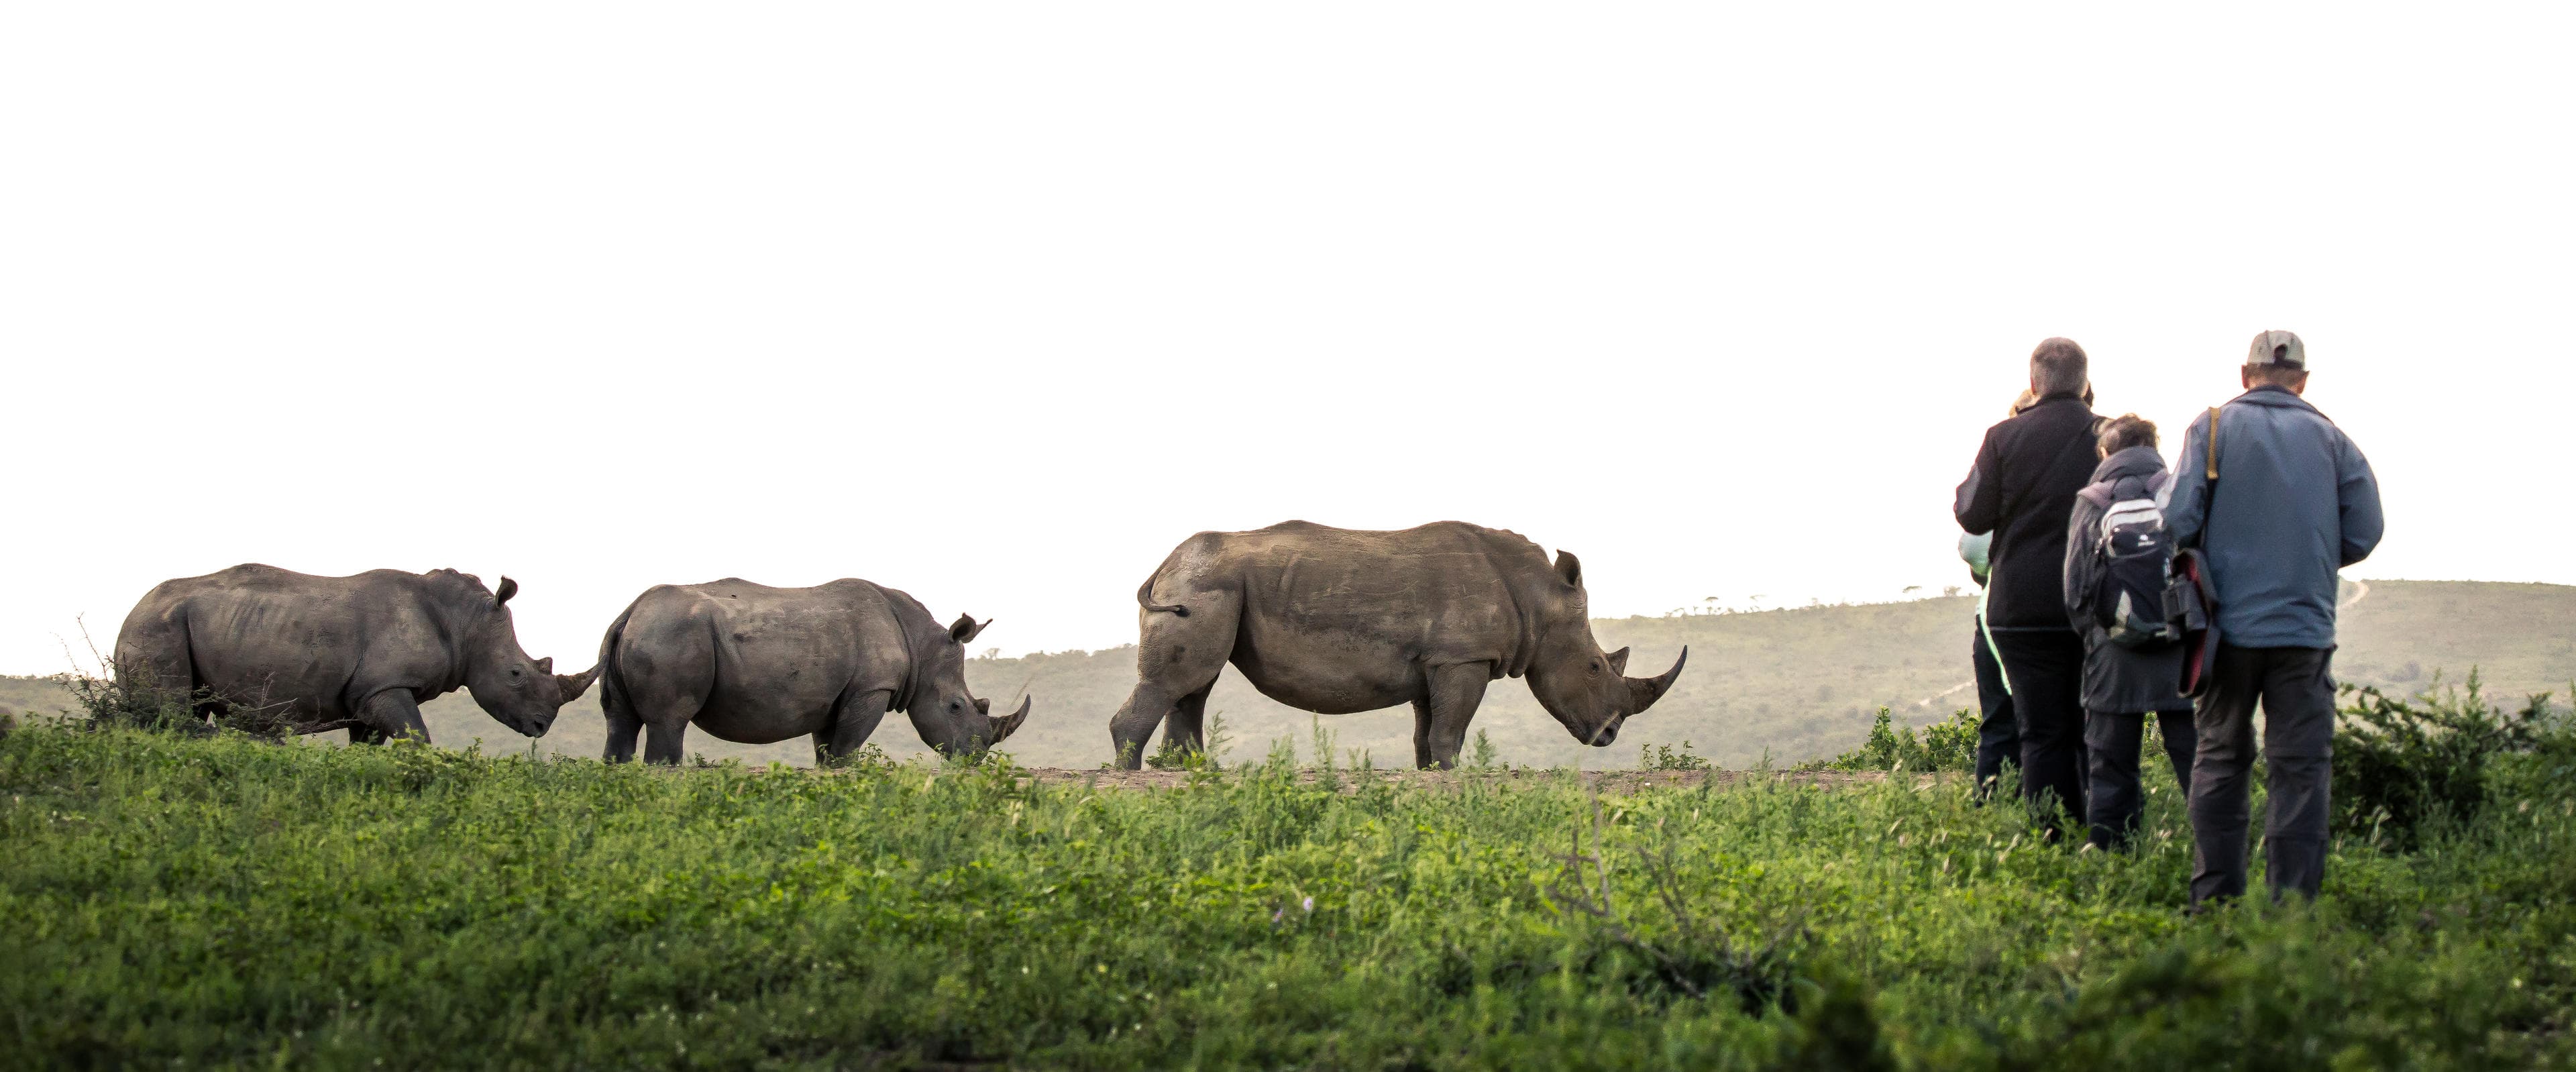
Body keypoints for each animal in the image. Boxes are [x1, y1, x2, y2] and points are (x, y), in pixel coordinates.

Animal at [113, 564, 597, 742]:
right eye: (516, 674)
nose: (541, 727)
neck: (466, 624)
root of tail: (131, 613)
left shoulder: (368, 695)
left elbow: (373, 747)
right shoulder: (386, 685)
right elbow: (418, 738)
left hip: (170, 623)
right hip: (158, 627)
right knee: (172, 712)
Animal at [594, 578, 1031, 765]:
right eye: (957, 707)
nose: (974, 758)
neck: (921, 644)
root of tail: (629, 614)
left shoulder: (834, 696)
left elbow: (826, 748)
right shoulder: (873, 689)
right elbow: (846, 749)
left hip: (639, 634)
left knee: (620, 722)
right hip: (670, 634)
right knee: (669, 722)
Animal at [1112, 520, 1687, 769]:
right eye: (1595, 667)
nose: (1610, 734)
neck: (1538, 596)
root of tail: (1165, 563)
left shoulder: (1439, 660)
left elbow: (1428, 731)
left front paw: (1431, 775)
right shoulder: (1464, 655)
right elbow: (1452, 729)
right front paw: (1457, 778)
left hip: (1211, 585)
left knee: (1194, 686)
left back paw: (1190, 773)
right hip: (1205, 585)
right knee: (1181, 681)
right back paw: (1132, 777)